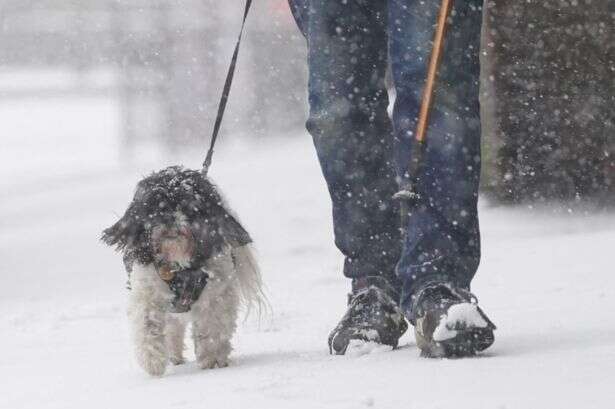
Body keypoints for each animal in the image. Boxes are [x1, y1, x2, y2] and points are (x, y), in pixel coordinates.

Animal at [101, 166, 264, 376]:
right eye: (156, 206)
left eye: (188, 205)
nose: (169, 218)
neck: (179, 266)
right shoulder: (147, 291)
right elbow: (147, 323)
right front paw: (152, 361)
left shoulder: (217, 294)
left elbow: (213, 326)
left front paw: (211, 358)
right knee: (172, 328)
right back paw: (174, 356)